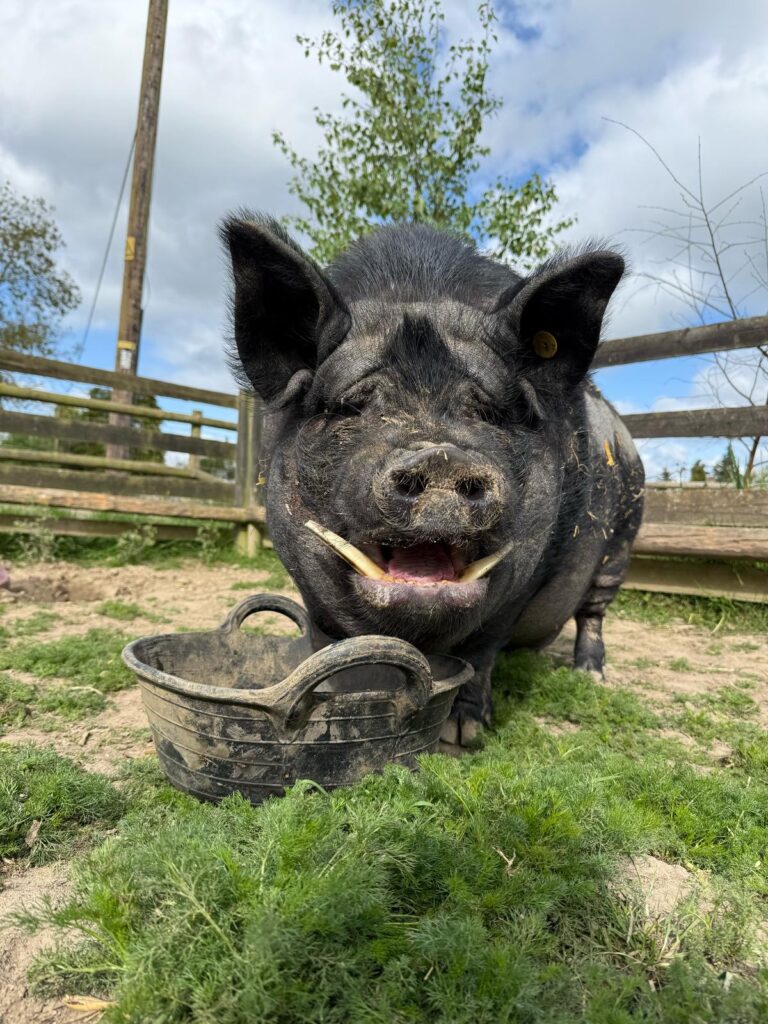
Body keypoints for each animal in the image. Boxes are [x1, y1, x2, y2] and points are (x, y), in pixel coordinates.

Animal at [222, 215, 644, 745]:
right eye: (351, 405)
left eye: (489, 412)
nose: (442, 455)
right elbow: (327, 647)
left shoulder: (527, 575)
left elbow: (481, 649)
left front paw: (461, 736)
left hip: (623, 539)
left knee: (594, 613)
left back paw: (590, 675)